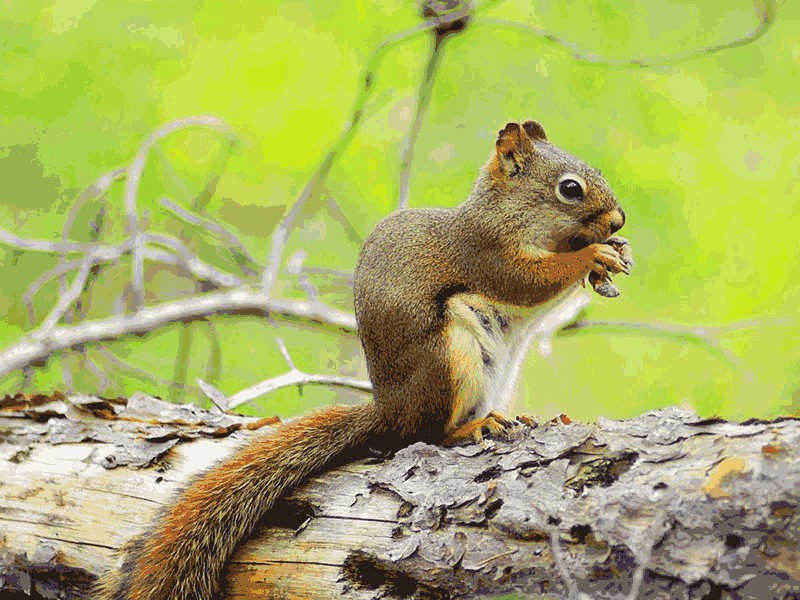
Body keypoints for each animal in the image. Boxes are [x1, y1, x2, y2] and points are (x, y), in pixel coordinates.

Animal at [95, 119, 632, 596]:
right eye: (570, 189)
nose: (619, 220)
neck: (511, 216)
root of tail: (388, 410)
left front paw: (615, 251)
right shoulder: (485, 253)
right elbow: (528, 282)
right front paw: (593, 256)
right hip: (449, 359)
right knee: (427, 434)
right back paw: (470, 428)